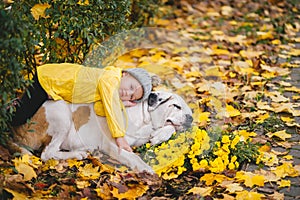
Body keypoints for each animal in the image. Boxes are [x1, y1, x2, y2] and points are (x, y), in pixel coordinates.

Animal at [11, 91, 192, 173]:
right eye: (176, 106)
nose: (191, 118)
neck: (144, 119)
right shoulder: (113, 145)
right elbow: (132, 156)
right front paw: (146, 168)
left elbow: (168, 128)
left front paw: (160, 135)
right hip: (62, 112)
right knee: (46, 153)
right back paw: (78, 154)